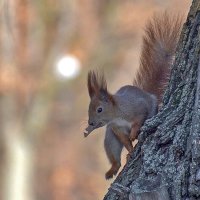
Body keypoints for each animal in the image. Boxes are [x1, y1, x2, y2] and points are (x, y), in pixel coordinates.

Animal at [83, 12, 183, 180]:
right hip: (109, 137)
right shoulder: (116, 128)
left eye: (99, 109)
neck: (117, 115)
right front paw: (130, 152)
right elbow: (125, 141)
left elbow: (139, 119)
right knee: (114, 156)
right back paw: (113, 168)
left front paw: (134, 133)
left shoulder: (138, 108)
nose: (90, 123)